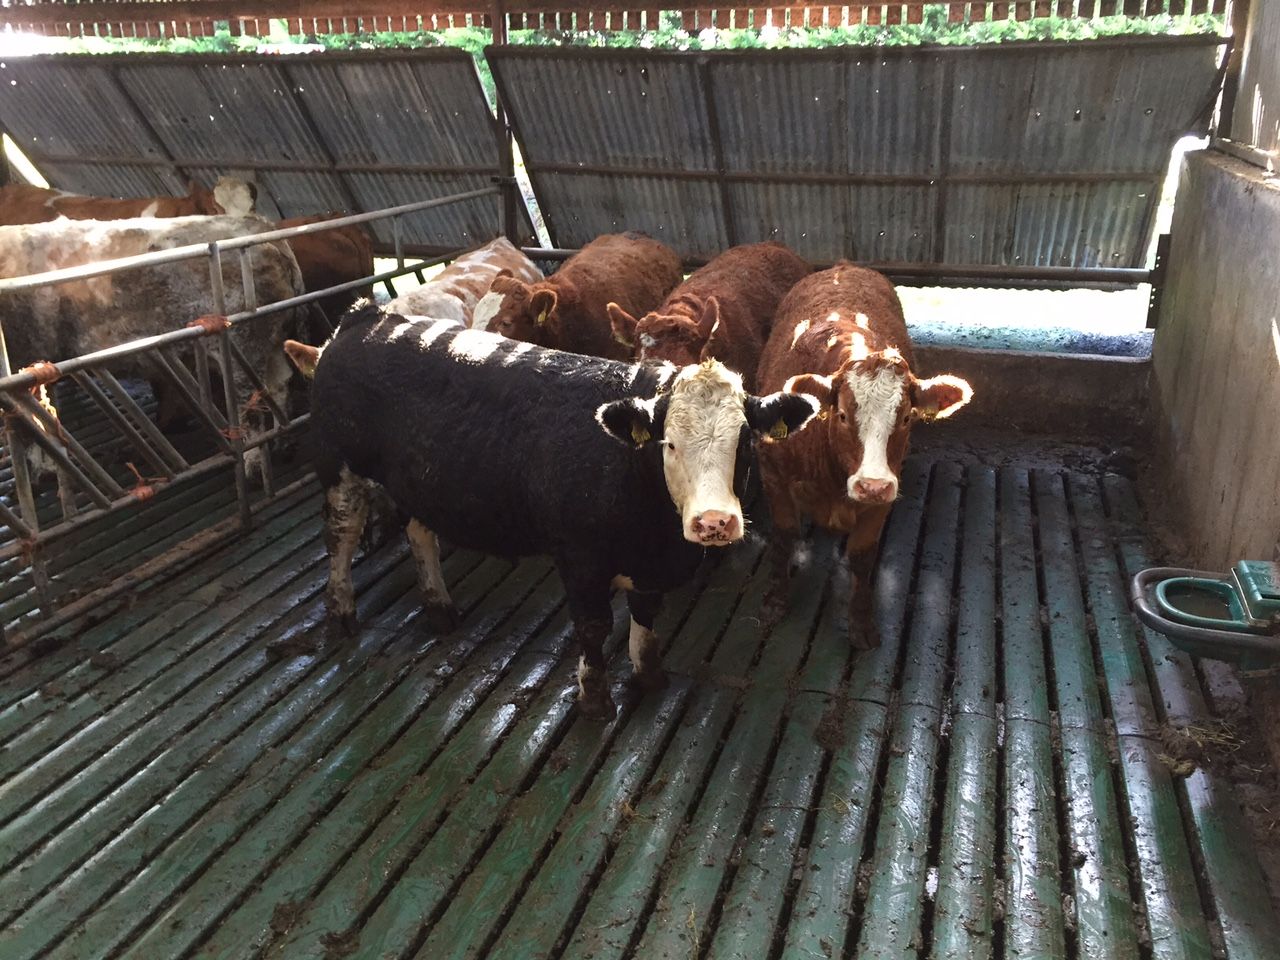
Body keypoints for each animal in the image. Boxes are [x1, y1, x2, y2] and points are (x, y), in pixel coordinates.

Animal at [0, 214, 305, 480]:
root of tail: (262, 228)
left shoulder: (27, 351)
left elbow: (33, 419)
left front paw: (46, 470)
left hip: (242, 344)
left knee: (251, 403)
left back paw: (254, 467)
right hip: (272, 342)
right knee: (279, 385)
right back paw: (283, 445)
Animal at [304, 301, 821, 719]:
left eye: (745, 442)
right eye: (668, 443)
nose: (714, 521)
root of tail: (367, 315)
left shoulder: (648, 565)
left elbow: (645, 615)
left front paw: (648, 675)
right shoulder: (579, 557)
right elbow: (593, 628)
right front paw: (594, 699)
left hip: (418, 480)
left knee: (419, 532)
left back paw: (439, 606)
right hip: (338, 463)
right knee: (340, 533)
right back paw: (341, 611)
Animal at [756, 262, 973, 647]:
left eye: (906, 418)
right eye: (842, 415)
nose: (871, 485)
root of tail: (842, 267)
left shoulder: (885, 494)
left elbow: (861, 555)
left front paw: (862, 622)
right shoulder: (773, 475)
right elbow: (783, 536)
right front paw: (774, 602)